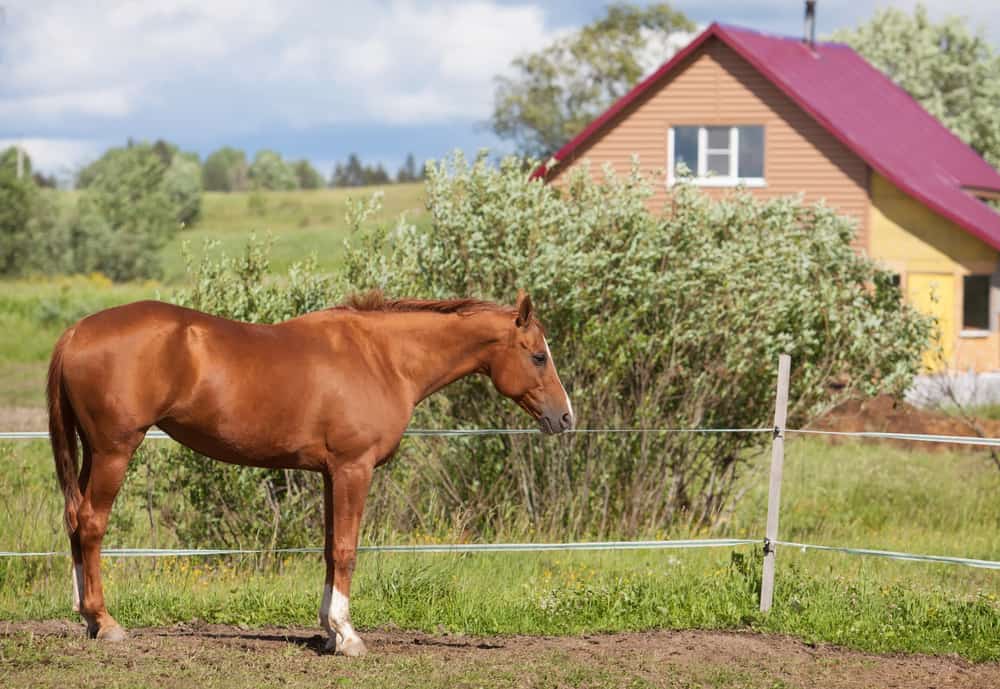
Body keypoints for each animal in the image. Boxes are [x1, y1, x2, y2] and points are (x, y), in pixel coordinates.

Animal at [47, 289, 573, 656]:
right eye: (538, 355)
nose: (565, 417)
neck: (382, 358)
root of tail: (76, 332)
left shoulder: (329, 473)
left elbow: (327, 549)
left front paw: (327, 632)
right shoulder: (353, 469)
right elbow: (346, 550)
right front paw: (347, 635)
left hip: (94, 452)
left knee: (74, 521)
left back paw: (87, 618)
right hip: (115, 451)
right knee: (91, 524)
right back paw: (106, 622)